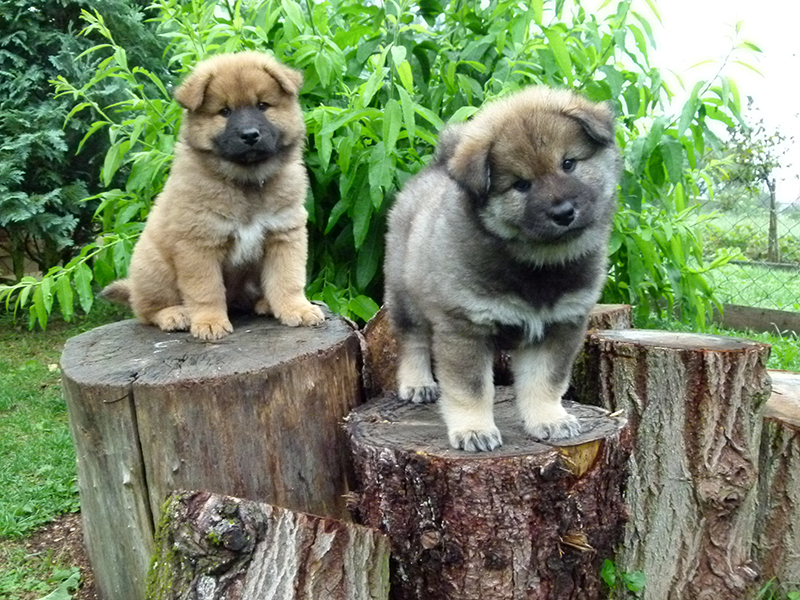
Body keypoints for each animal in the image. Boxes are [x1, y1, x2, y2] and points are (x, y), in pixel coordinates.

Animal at [102, 52, 324, 340]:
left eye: (262, 106)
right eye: (225, 112)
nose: (250, 135)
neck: (246, 181)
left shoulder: (284, 234)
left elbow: (288, 279)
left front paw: (297, 309)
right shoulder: (199, 244)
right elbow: (206, 290)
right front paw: (209, 322)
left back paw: (264, 303)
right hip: (153, 267)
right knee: (145, 310)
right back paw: (175, 314)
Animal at [384, 86, 621, 451]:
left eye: (568, 164)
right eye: (521, 185)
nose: (564, 212)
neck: (537, 265)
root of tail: (435, 167)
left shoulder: (560, 324)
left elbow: (545, 381)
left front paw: (549, 420)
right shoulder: (465, 326)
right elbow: (470, 389)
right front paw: (474, 429)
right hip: (405, 295)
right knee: (413, 341)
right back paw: (418, 383)